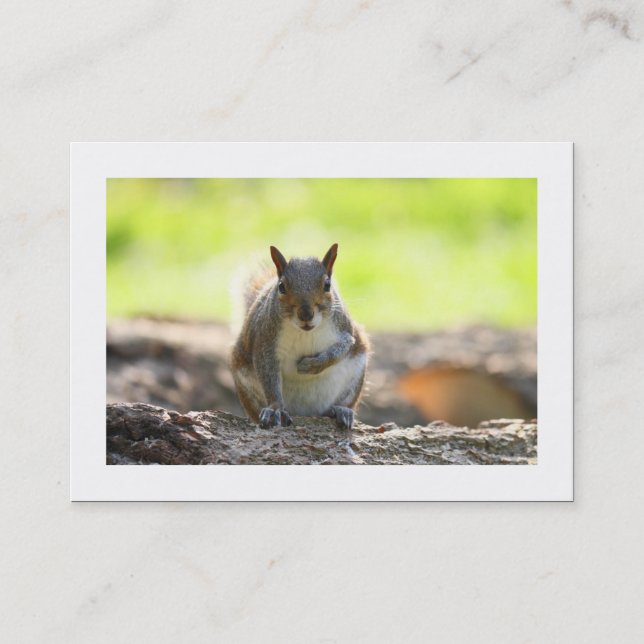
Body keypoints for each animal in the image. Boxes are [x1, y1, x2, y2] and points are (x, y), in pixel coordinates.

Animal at [230, 243, 369, 430]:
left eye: (327, 285)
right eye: (281, 286)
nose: (306, 314)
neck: (305, 332)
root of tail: (305, 413)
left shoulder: (346, 331)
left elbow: (341, 349)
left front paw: (311, 365)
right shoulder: (265, 342)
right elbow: (269, 377)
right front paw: (275, 409)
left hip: (355, 376)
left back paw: (340, 410)